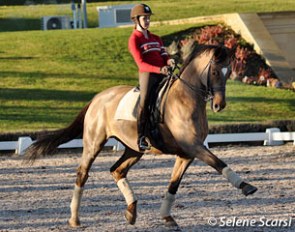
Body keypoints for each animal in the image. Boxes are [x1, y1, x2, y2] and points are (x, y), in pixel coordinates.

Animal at [24, 42, 258, 227]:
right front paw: (246, 187)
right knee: (83, 173)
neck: (186, 98)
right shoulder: (193, 146)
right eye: (216, 72)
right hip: (94, 143)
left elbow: (174, 184)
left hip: (133, 148)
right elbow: (218, 163)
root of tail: (98, 97)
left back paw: (131, 211)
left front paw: (167, 218)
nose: (219, 105)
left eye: (229, 73)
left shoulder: (187, 153)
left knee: (117, 170)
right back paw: (74, 219)